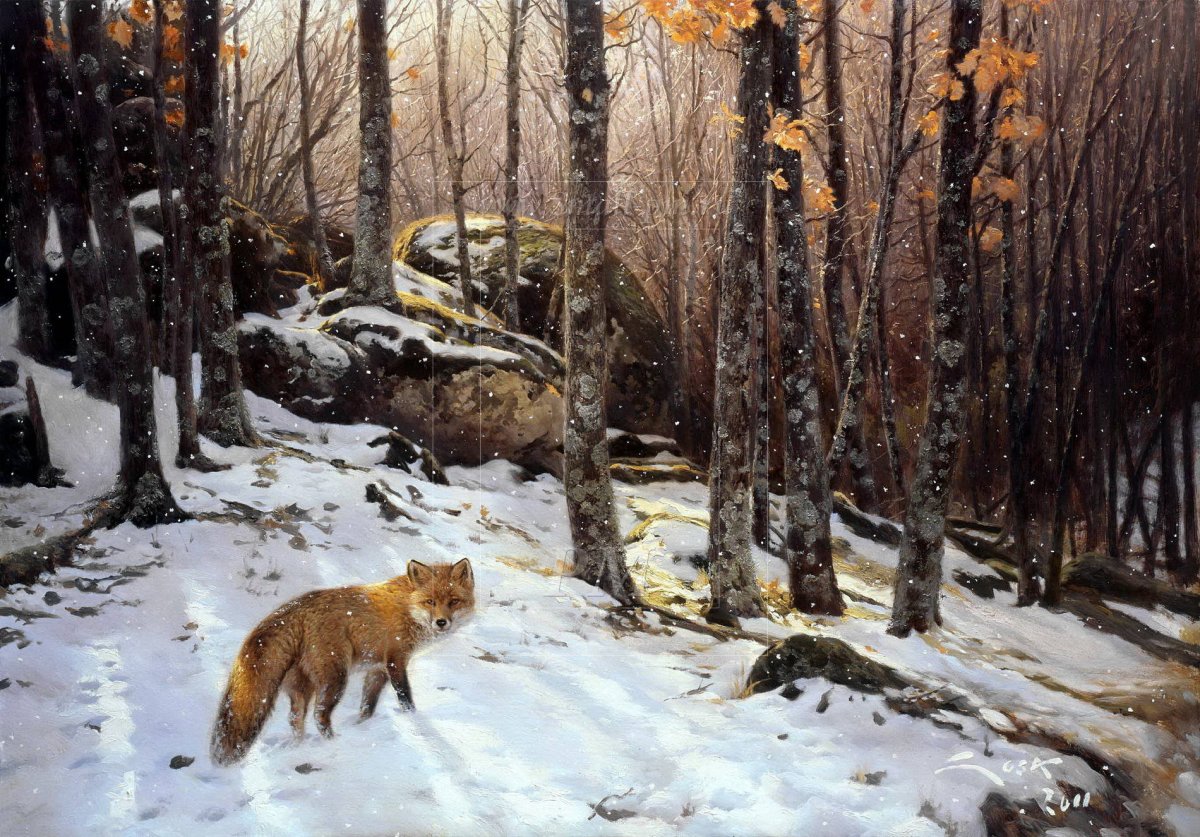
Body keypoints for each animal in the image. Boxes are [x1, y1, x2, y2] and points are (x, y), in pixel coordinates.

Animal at [210, 558, 475, 765]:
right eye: (430, 601)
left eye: (453, 601)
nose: (441, 622)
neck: (408, 607)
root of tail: (295, 607)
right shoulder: (395, 661)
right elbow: (405, 697)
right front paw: (411, 719)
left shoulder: (377, 669)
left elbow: (367, 706)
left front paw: (361, 725)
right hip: (335, 678)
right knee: (319, 716)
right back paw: (332, 744)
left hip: (303, 687)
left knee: (295, 719)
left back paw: (298, 747)